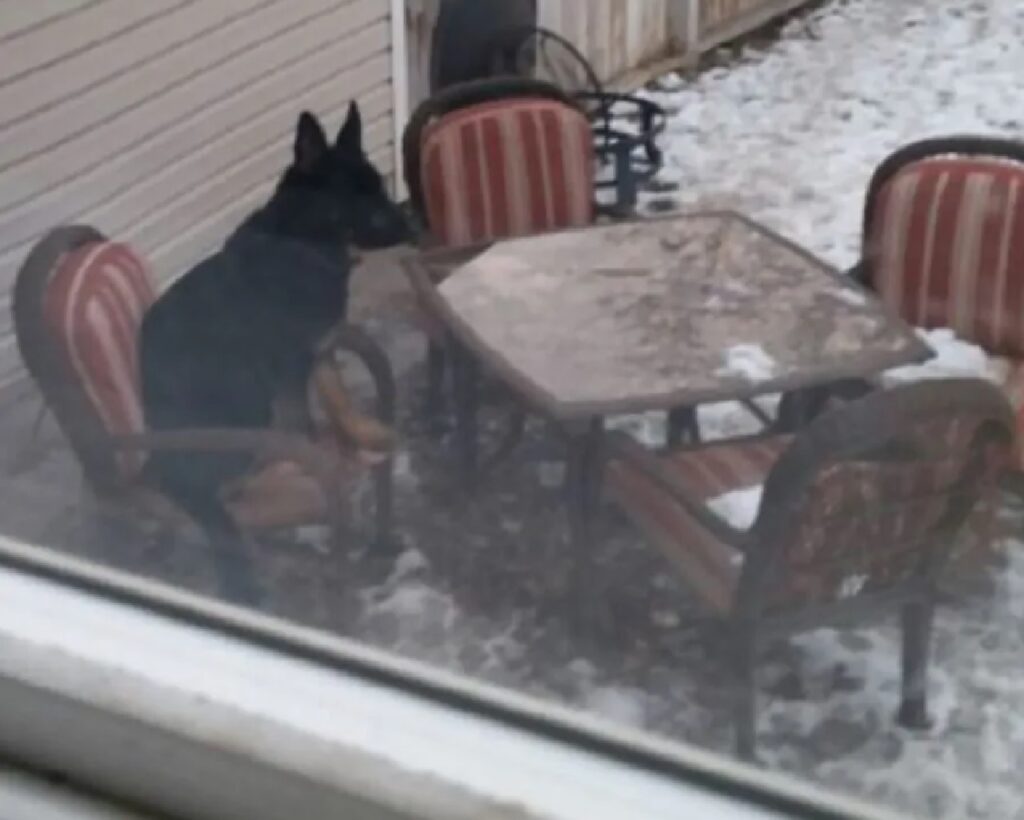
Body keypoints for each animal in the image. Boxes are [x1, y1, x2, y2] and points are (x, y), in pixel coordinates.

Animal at [140, 103, 411, 601]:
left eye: (380, 187)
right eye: (356, 195)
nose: (413, 223)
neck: (302, 239)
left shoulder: (317, 347)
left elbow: (332, 389)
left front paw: (358, 431)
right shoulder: (289, 363)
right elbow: (303, 421)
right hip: (243, 402)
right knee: (206, 483)